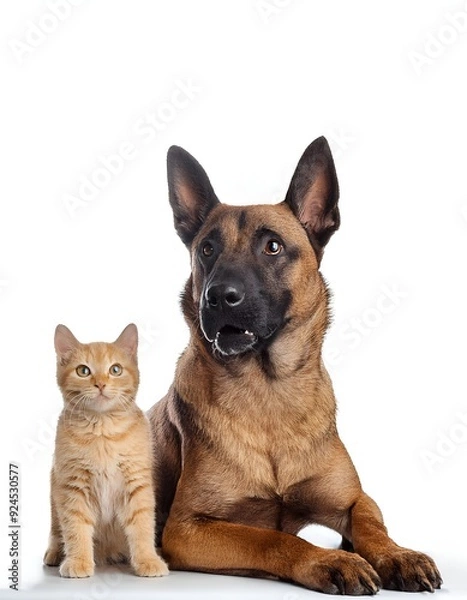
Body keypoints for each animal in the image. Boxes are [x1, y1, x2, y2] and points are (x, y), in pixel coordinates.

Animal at [43, 326, 169, 580]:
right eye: (83, 370)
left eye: (115, 369)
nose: (100, 384)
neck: (102, 431)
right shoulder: (72, 486)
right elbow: (75, 527)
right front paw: (79, 560)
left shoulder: (137, 484)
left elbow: (142, 525)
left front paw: (148, 560)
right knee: (56, 530)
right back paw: (55, 553)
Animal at [148, 138, 444, 592]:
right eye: (207, 250)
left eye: (272, 246)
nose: (218, 297)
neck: (270, 393)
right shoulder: (187, 528)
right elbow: (271, 538)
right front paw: (332, 560)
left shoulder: (355, 498)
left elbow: (372, 524)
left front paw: (397, 555)